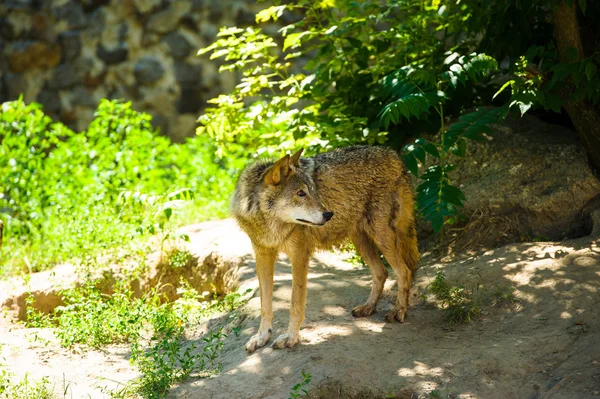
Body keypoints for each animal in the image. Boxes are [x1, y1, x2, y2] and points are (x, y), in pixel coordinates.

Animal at [232, 145, 420, 352]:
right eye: (300, 193)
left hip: (381, 236)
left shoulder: (299, 256)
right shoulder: (263, 255)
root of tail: (394, 154)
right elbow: (265, 305)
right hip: (361, 240)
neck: (269, 224)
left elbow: (295, 304)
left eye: (312, 192)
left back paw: (399, 311)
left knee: (404, 271)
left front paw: (291, 337)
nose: (329, 214)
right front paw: (261, 336)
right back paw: (368, 308)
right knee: (381, 272)